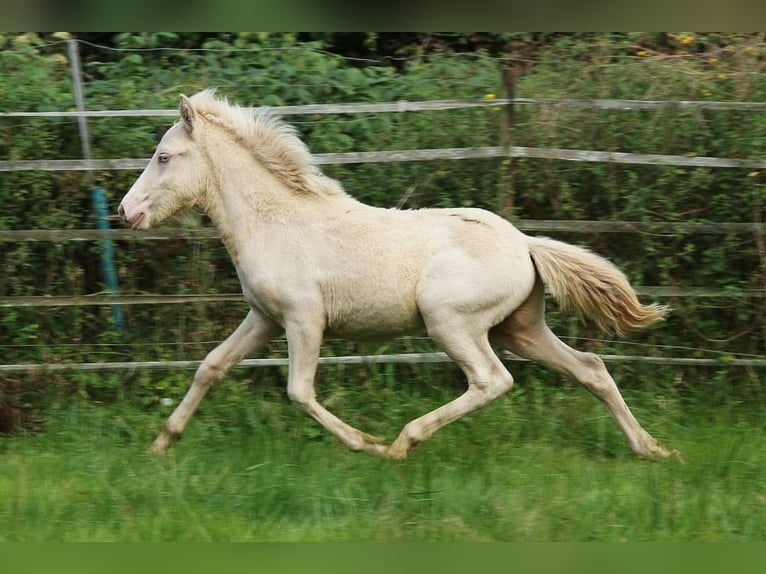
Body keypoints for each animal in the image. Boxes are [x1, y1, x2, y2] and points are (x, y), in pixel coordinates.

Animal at [120, 90, 680, 462]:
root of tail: (526, 244)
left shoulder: (304, 320)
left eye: (163, 156)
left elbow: (299, 392)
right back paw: (652, 449)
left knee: (492, 379)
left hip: (450, 321)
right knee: (590, 368)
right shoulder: (264, 317)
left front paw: (364, 443)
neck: (277, 222)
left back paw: (401, 444)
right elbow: (210, 367)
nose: (127, 212)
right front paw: (161, 444)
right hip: (519, 327)